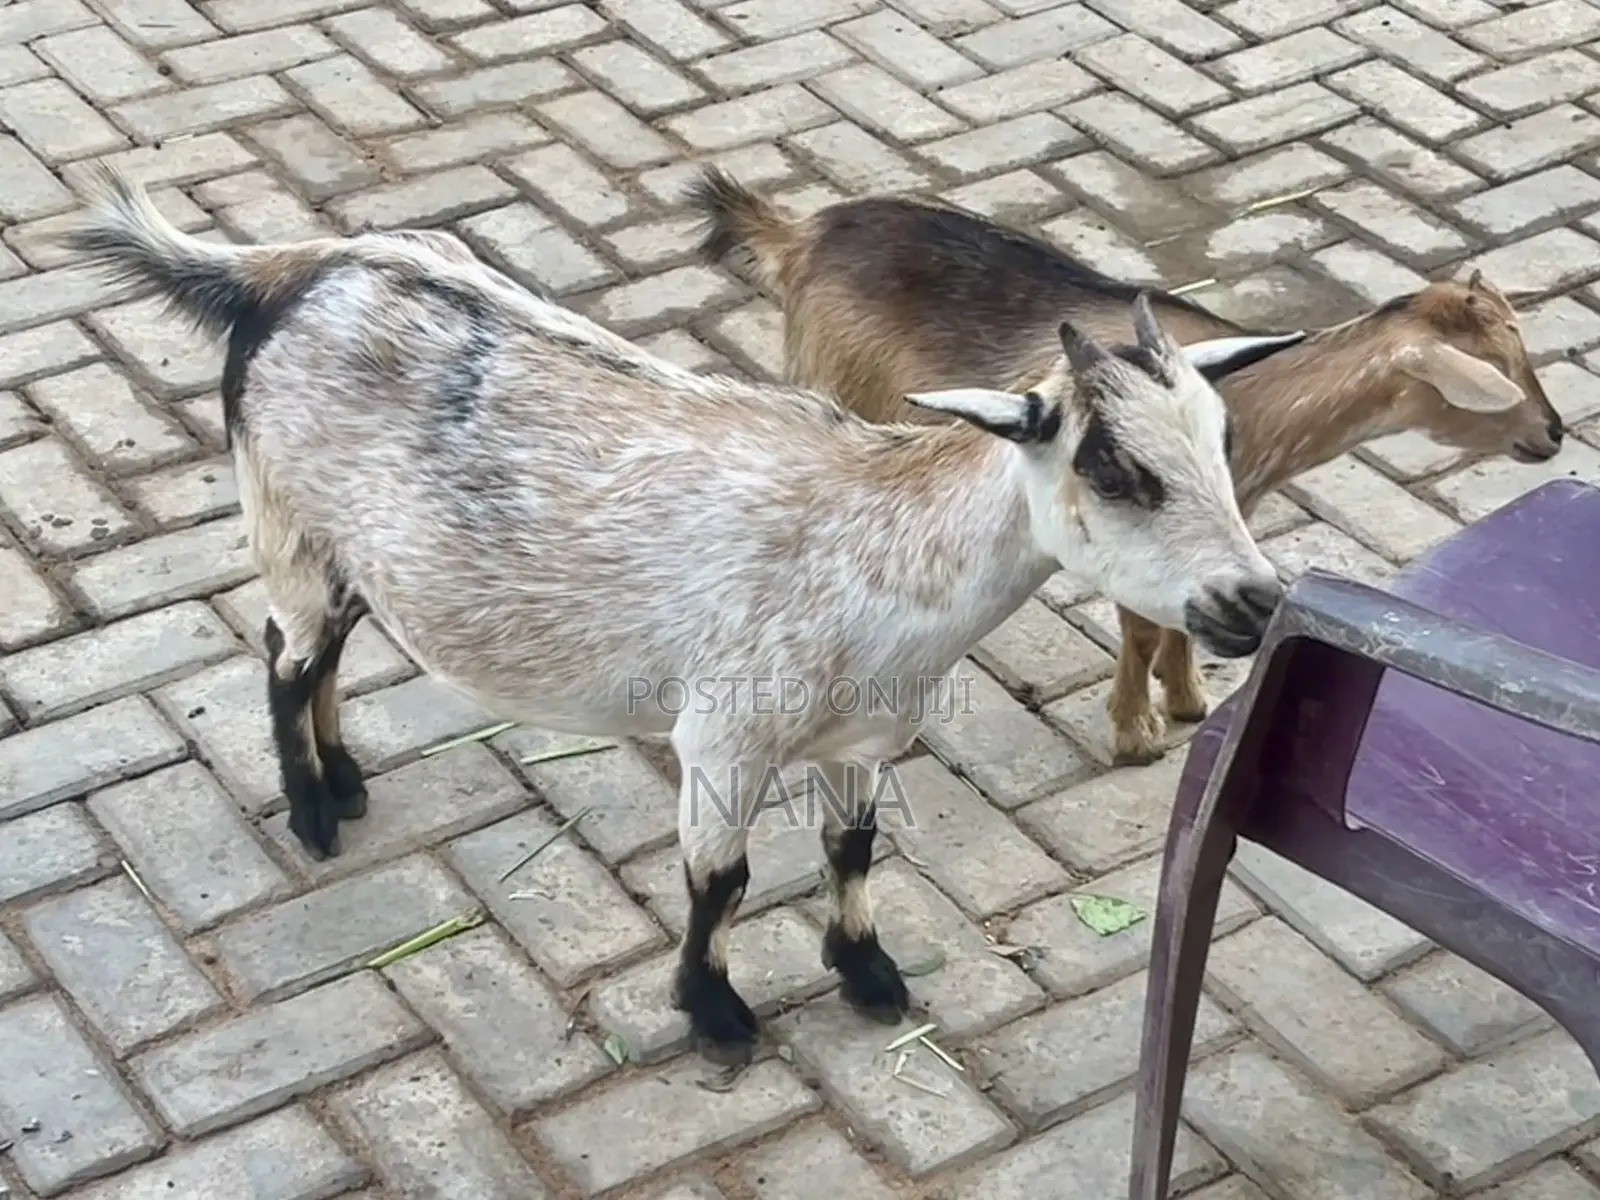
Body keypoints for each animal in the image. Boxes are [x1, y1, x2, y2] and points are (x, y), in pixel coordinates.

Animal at [65, 168, 1293, 1065]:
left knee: (326, 651)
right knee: (288, 651)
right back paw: (315, 807)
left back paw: (347, 777)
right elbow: (722, 881)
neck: (876, 540)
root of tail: (293, 271)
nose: (1254, 603)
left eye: (1225, 440)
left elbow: (853, 847)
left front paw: (868, 974)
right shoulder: (727, 733)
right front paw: (713, 1011)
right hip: (287, 520)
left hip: (348, 544)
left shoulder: (866, 735)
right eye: (1111, 465)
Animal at [685, 169, 1565, 765]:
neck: (1252, 398)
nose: (1555, 434)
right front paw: (1137, 731)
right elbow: (1140, 629)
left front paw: (1188, 699)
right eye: (1492, 372)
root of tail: (800, 234)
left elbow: (1177, 618)